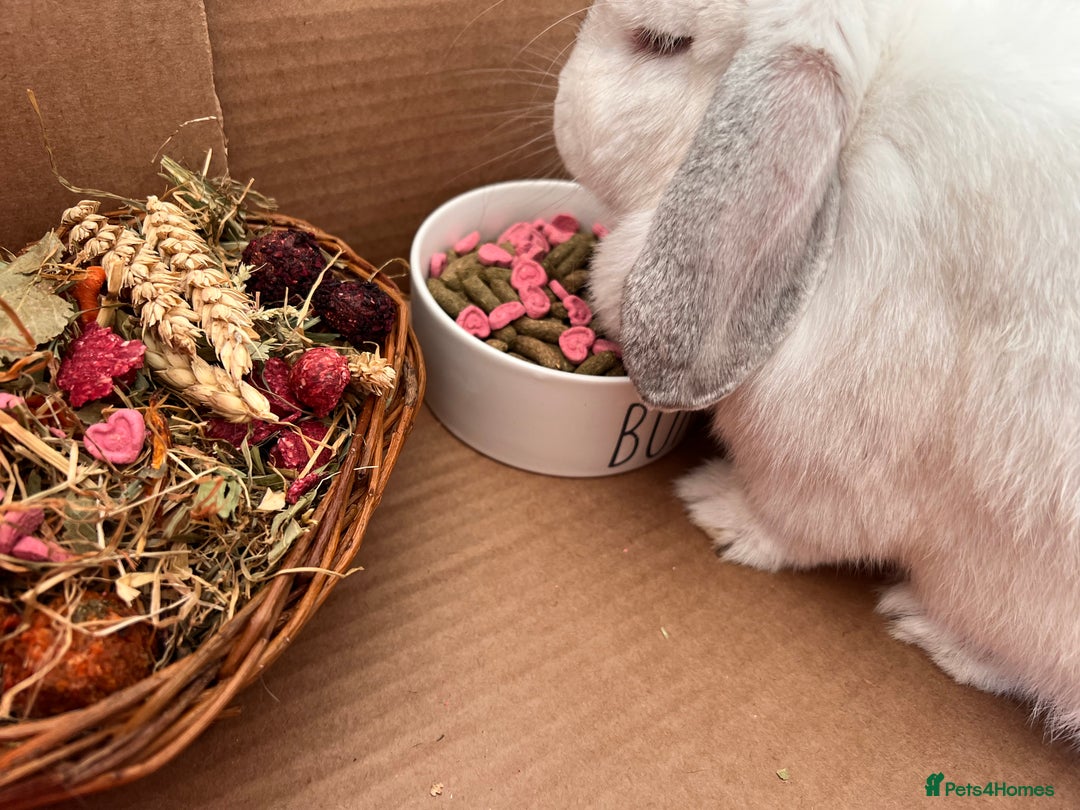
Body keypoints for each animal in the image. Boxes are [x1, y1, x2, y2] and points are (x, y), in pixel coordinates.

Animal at [554, 0, 1080, 743]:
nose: (561, 106)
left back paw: (929, 628)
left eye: (663, 43)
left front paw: (717, 510)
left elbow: (800, 524)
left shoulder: (838, 449)